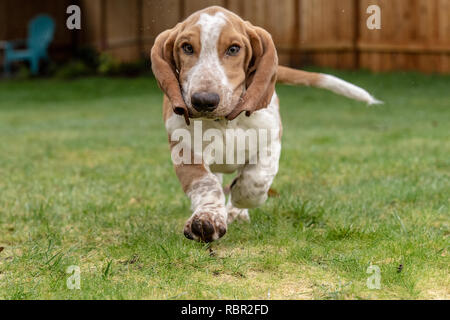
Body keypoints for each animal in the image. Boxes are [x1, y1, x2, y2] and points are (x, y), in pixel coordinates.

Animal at [151, 5, 380, 242]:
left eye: (234, 49)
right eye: (187, 47)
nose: (204, 100)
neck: (225, 123)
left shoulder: (271, 142)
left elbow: (254, 181)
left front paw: (237, 203)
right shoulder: (186, 151)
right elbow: (207, 185)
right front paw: (207, 219)